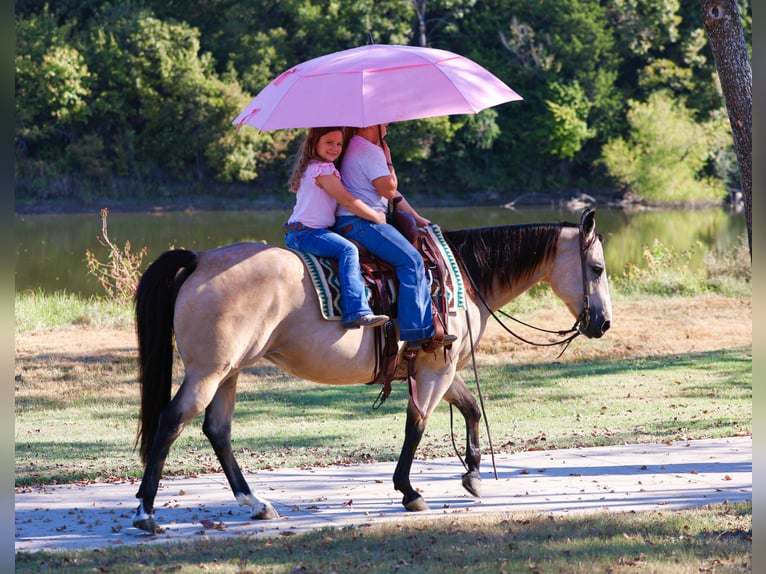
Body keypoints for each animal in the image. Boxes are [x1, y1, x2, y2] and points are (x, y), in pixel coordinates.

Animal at [131, 209, 612, 533]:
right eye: (597, 268)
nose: (603, 323)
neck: (461, 275)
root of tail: (199, 259)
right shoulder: (436, 371)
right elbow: (417, 425)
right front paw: (409, 491)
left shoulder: (442, 367)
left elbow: (471, 409)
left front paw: (473, 474)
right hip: (208, 372)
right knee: (172, 422)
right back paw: (146, 512)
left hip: (228, 372)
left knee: (218, 430)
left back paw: (255, 502)